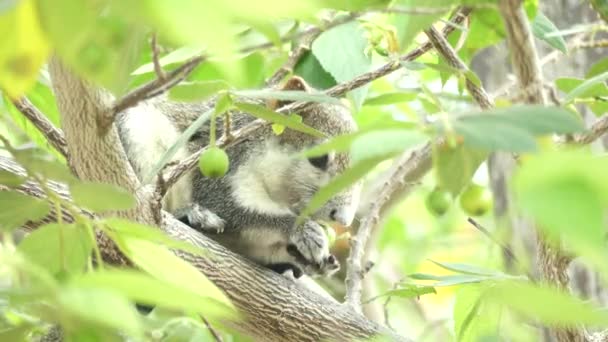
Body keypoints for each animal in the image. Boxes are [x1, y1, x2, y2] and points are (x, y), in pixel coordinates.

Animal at [116, 78, 358, 280]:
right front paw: (303, 231)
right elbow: (236, 211)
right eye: (319, 158)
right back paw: (193, 215)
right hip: (137, 138)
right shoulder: (225, 160)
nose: (343, 218)